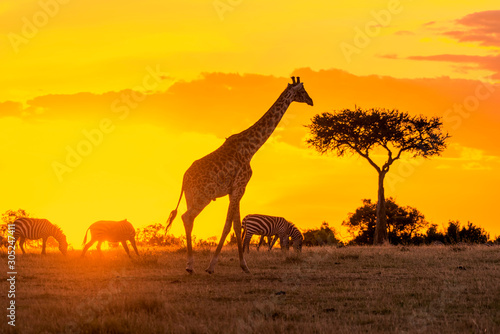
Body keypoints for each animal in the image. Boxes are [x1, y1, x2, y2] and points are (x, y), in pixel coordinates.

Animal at [165, 76, 312, 274]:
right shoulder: (240, 186)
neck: (251, 148)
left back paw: (190, 265)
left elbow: (236, 225)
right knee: (187, 217)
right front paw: (212, 266)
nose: (311, 101)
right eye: (302, 91)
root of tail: (184, 178)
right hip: (203, 197)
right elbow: (228, 225)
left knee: (188, 219)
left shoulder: (234, 189)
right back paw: (190, 266)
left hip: (191, 197)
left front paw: (244, 265)